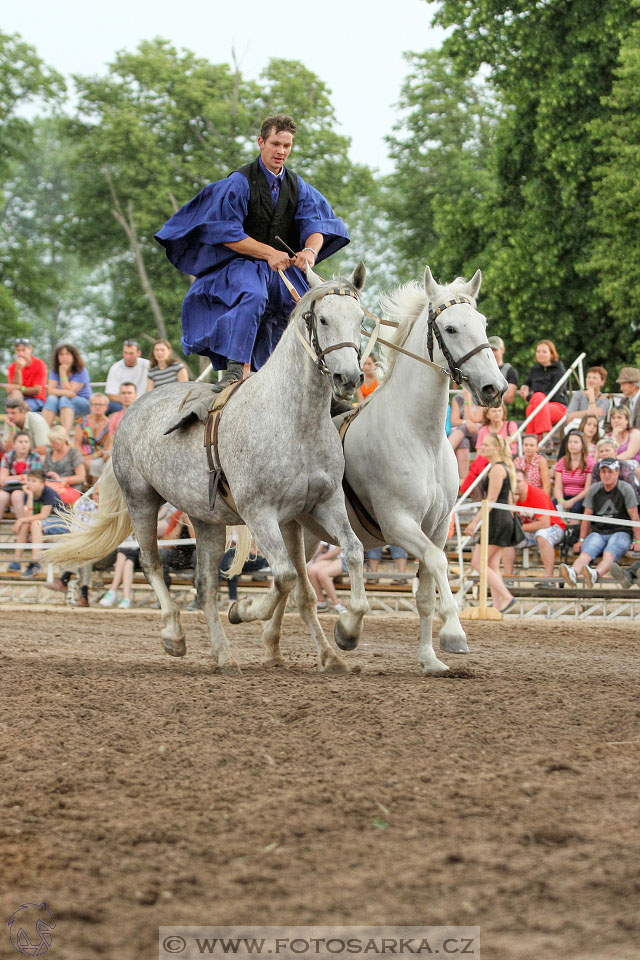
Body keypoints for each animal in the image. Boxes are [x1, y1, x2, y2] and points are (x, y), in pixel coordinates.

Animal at [47, 264, 370, 676]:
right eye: (323, 319)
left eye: (361, 320)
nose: (349, 379)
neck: (293, 419)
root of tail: (133, 408)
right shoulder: (260, 512)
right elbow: (285, 577)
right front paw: (244, 609)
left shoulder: (322, 504)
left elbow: (349, 554)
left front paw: (346, 634)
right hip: (141, 501)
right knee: (153, 565)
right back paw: (174, 635)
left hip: (207, 520)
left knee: (204, 586)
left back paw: (223, 654)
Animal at [258, 264, 508, 676]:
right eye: (451, 328)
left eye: (483, 323)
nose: (494, 388)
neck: (420, 437)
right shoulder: (399, 523)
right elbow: (439, 564)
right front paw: (453, 633)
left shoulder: (437, 528)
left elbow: (425, 593)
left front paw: (429, 659)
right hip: (285, 526)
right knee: (291, 583)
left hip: (308, 536)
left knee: (290, 583)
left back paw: (273, 647)